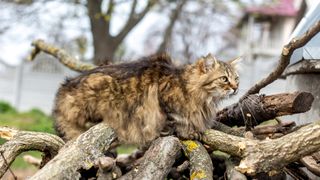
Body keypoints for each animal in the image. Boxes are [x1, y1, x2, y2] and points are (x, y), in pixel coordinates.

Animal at [52, 53, 239, 145]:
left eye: (236, 78)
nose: (236, 88)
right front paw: (187, 132)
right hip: (102, 86)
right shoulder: (164, 102)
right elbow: (176, 122)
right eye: (224, 79)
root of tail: (63, 89)